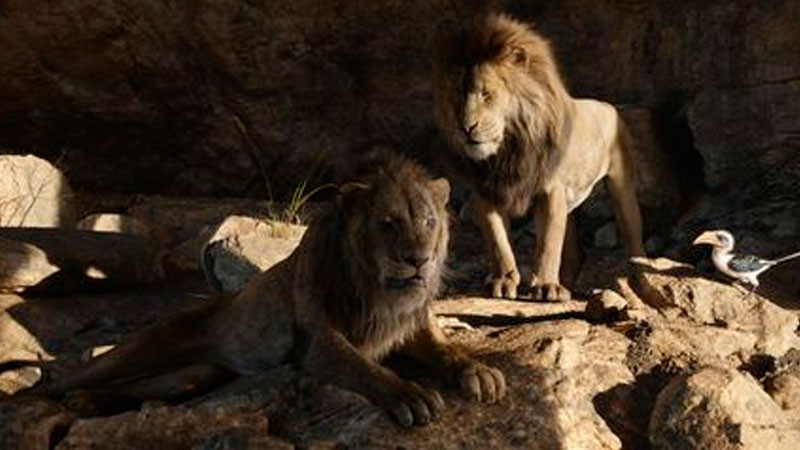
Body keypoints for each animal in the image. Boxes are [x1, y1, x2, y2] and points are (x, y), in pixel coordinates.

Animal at [22, 154, 506, 427]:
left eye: (428, 221)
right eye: (387, 224)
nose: (418, 259)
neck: (379, 290)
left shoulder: (411, 326)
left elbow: (448, 350)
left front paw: (479, 371)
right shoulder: (317, 340)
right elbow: (363, 367)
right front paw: (409, 394)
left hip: (197, 375)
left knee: (139, 390)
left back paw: (86, 403)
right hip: (143, 346)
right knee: (68, 380)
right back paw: (49, 397)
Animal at [431, 12, 645, 301]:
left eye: (486, 94)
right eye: (456, 96)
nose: (465, 128)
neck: (509, 150)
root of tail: (610, 105)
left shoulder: (550, 189)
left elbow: (547, 243)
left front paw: (545, 286)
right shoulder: (486, 191)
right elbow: (497, 241)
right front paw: (503, 280)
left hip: (621, 186)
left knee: (633, 237)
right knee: (574, 249)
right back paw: (567, 285)